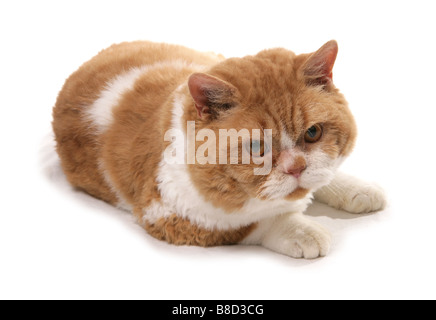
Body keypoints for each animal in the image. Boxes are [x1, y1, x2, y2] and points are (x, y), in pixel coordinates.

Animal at [53, 40, 384, 260]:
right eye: (256, 147)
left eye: (313, 133)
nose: (296, 167)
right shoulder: (169, 216)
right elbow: (257, 222)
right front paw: (301, 230)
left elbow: (325, 174)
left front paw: (357, 189)